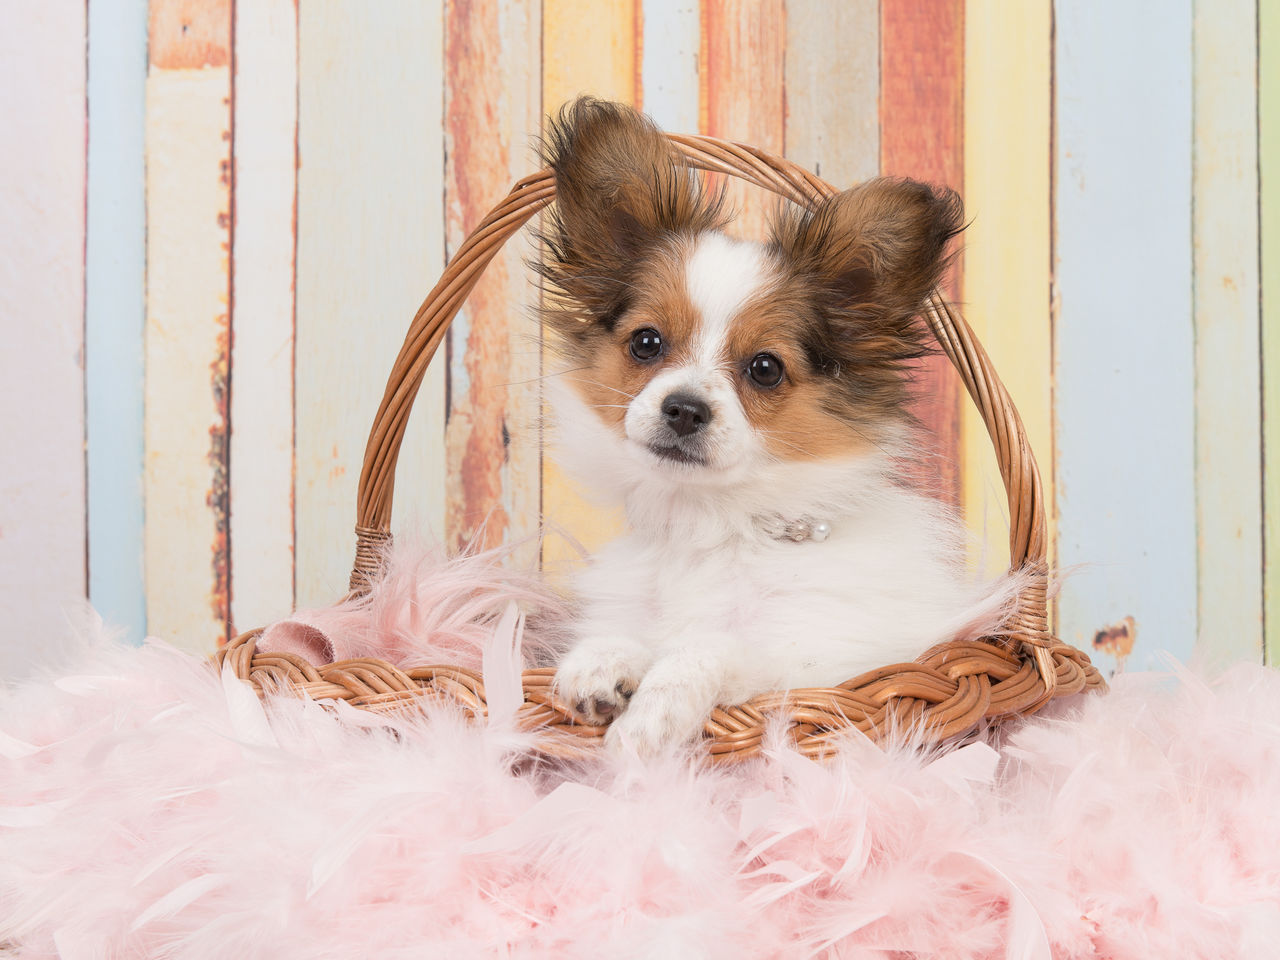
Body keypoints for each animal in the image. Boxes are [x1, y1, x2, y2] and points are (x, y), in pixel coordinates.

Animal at [537, 99, 1008, 757]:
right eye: (646, 342)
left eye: (765, 368)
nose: (684, 409)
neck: (713, 528)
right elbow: (628, 634)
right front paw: (600, 662)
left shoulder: (832, 662)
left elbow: (707, 647)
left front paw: (654, 714)